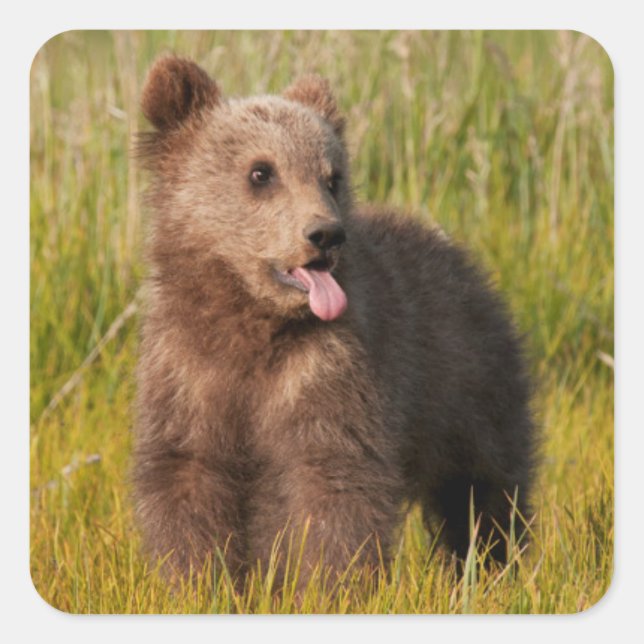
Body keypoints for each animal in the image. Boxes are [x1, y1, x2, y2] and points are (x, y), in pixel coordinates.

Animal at [133, 55, 536, 588]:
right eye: (261, 171)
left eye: (331, 176)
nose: (325, 234)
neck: (252, 322)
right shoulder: (187, 372)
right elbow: (187, 476)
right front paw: (197, 582)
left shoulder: (328, 370)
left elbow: (332, 484)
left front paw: (330, 586)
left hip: (467, 387)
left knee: (483, 488)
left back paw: (492, 565)